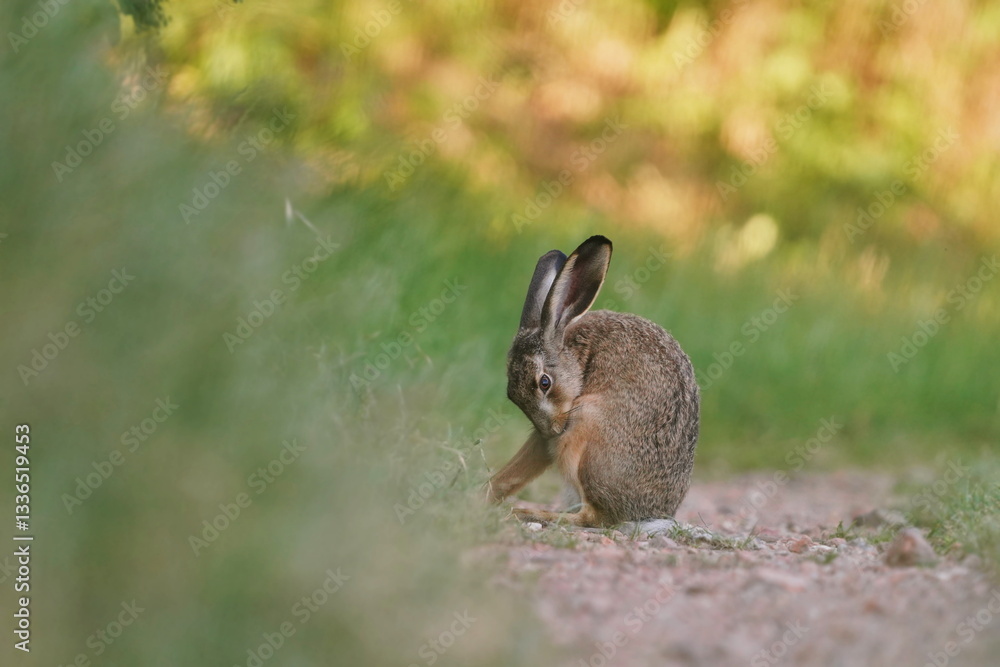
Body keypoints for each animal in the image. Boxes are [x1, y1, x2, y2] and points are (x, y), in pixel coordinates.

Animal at [487, 235, 699, 527]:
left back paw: (528, 513)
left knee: (593, 516)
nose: (552, 431)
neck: (575, 355)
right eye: (511, 393)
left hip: (586, 425)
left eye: (544, 383)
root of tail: (646, 511)